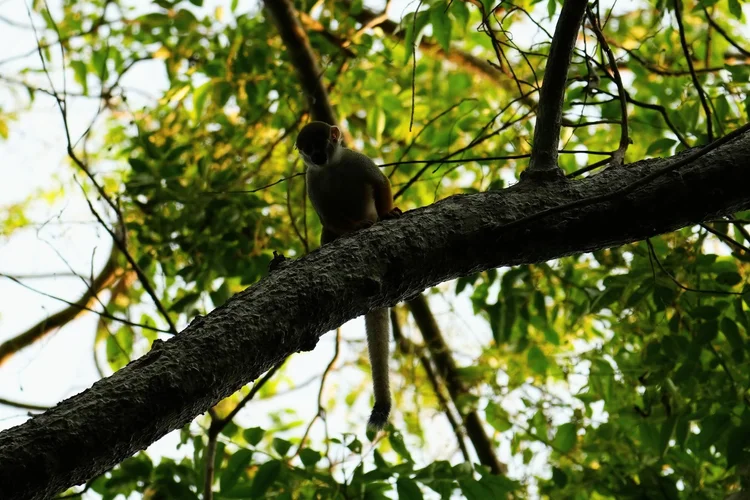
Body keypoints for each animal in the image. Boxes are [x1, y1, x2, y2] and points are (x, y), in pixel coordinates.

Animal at [295, 121, 402, 431]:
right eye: (307, 149)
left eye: (320, 144)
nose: (315, 156)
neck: (331, 166)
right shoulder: (311, 179)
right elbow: (327, 217)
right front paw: (355, 228)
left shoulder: (357, 160)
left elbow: (380, 183)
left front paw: (387, 213)